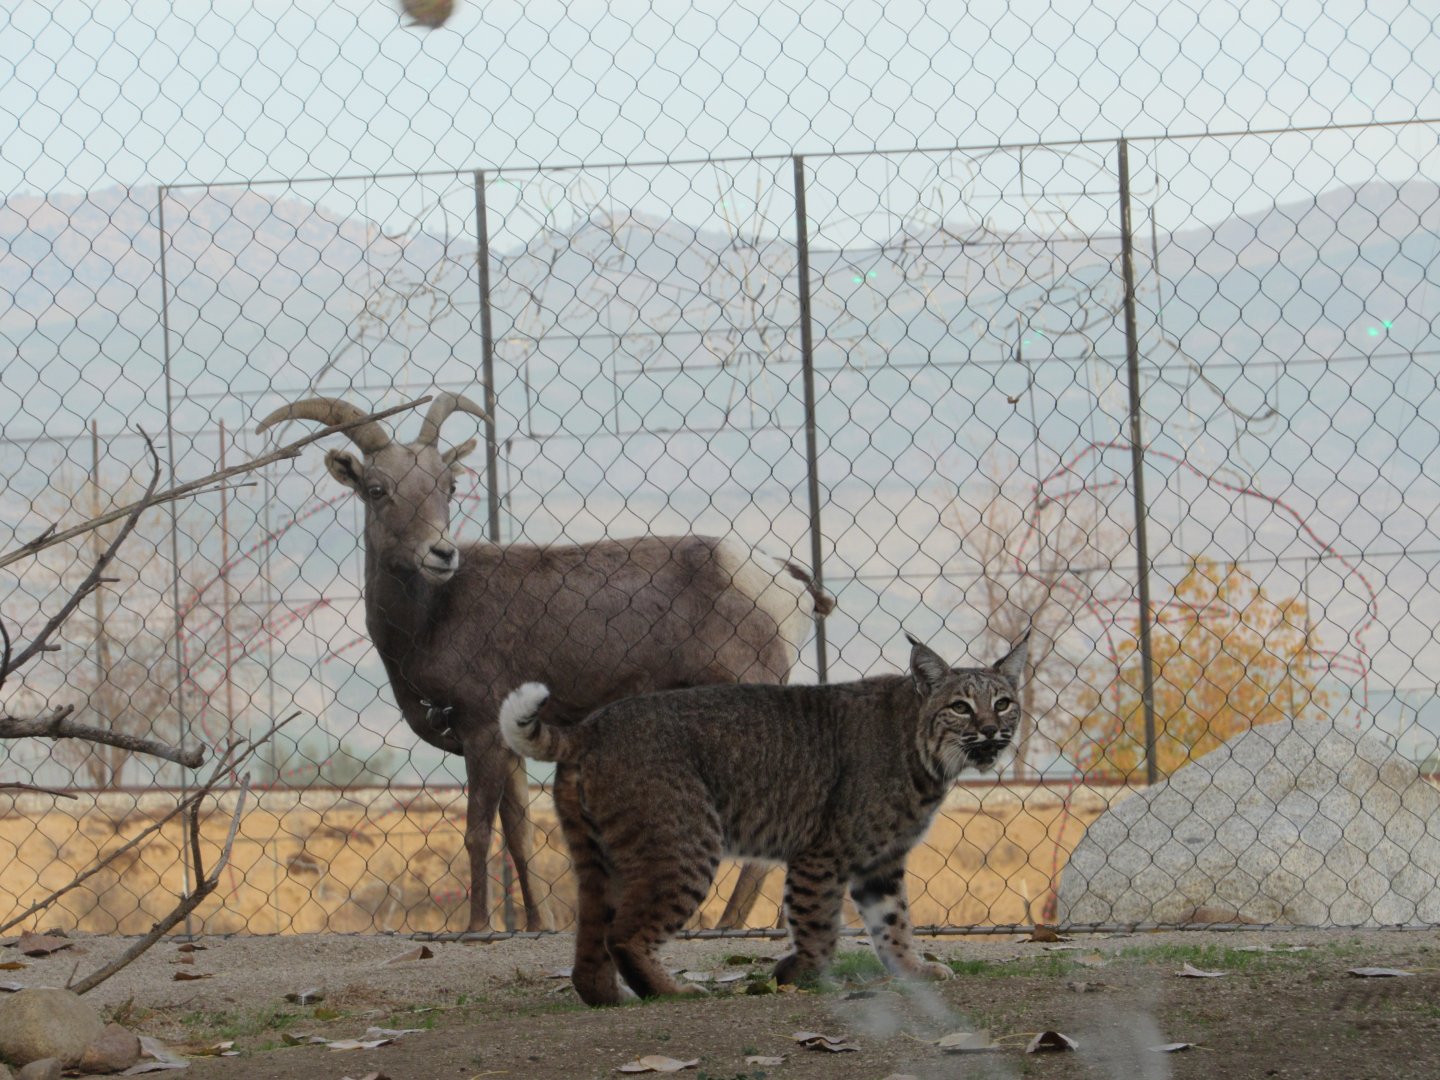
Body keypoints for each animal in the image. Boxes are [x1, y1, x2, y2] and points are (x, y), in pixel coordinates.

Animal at [256, 391, 833, 932]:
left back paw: (725, 925)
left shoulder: (482, 734)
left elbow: (478, 833)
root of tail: (778, 576)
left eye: (446, 487)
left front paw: (477, 928)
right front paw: (538, 925)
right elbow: (519, 836)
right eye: (377, 489)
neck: (431, 616)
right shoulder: (505, 746)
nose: (441, 554)